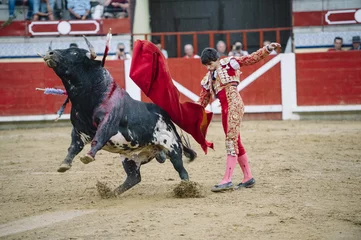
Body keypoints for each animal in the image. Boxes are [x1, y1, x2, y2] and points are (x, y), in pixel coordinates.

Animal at [43, 37, 198, 195]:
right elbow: (73, 147)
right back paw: (112, 193)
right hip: (129, 157)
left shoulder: (107, 123)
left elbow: (98, 138)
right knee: (134, 177)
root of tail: (167, 119)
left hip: (173, 147)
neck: (89, 97)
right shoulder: (78, 130)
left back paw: (187, 188)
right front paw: (64, 164)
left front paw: (88, 156)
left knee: (181, 169)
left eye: (74, 52)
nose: (50, 53)